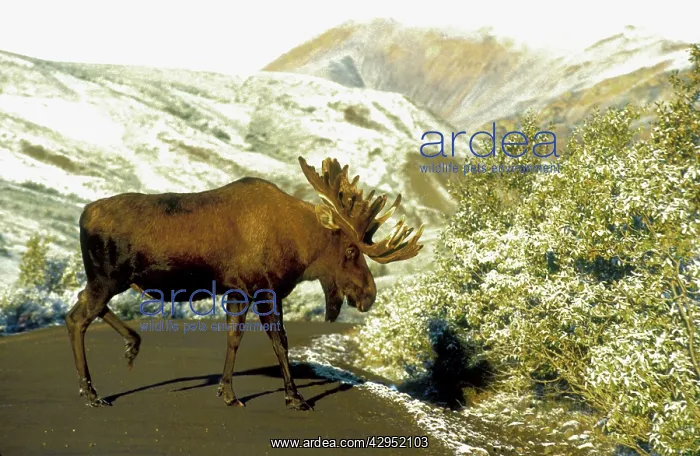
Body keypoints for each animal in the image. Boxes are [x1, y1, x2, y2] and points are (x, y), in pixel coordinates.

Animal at [65, 156, 424, 410]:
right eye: (350, 249)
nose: (368, 294)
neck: (302, 247)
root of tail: (82, 215)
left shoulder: (238, 292)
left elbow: (234, 338)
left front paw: (227, 392)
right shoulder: (265, 290)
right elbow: (280, 341)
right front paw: (294, 397)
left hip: (109, 280)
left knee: (82, 304)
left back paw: (131, 344)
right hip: (108, 278)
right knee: (77, 317)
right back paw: (92, 392)